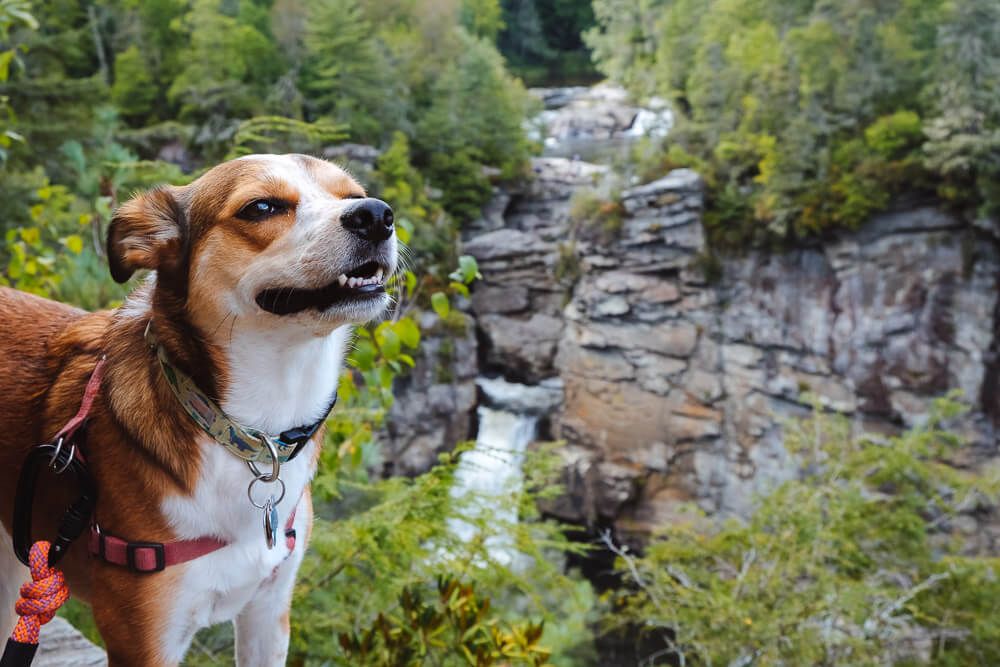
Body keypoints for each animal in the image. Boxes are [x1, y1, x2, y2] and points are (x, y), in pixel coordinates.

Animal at [0, 154, 396, 664]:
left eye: (352, 196)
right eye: (261, 207)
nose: (376, 215)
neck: (242, 431)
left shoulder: (269, 615)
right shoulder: (144, 638)